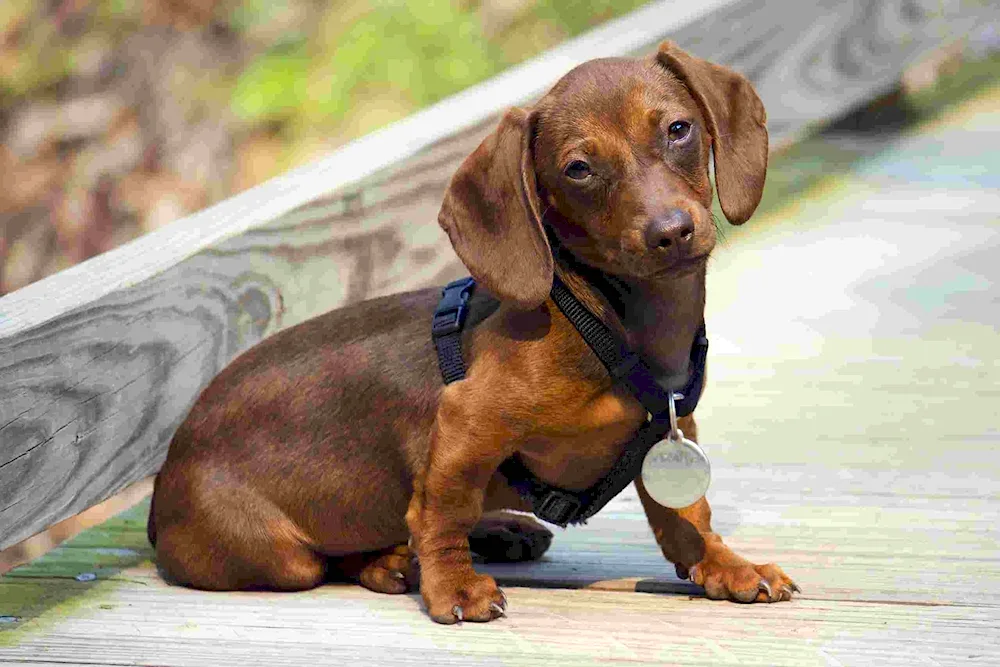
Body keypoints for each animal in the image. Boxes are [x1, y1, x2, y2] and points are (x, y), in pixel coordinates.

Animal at [148, 43, 800, 628]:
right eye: (579, 169)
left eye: (678, 129)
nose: (670, 232)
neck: (615, 320)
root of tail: (162, 488)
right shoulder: (468, 421)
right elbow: (440, 510)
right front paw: (454, 586)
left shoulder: (671, 427)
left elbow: (686, 514)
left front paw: (726, 566)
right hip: (280, 556)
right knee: (328, 560)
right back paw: (393, 561)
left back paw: (496, 529)